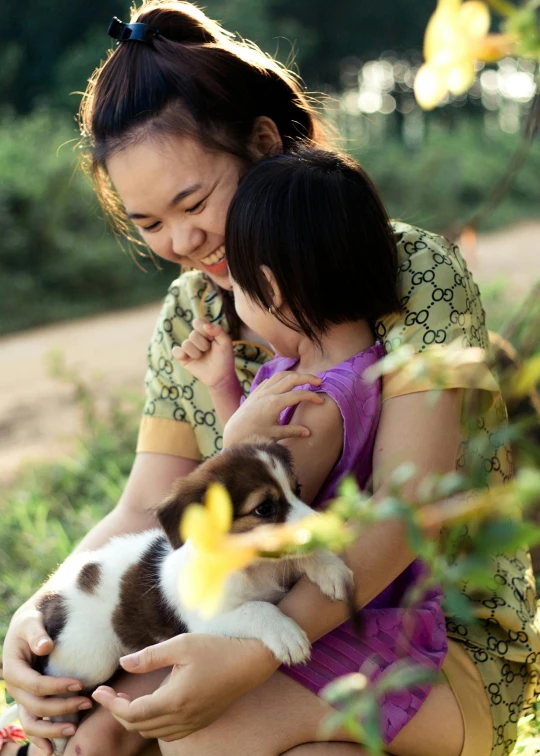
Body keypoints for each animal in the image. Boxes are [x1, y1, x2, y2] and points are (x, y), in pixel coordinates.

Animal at [4, 440, 352, 752]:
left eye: (298, 489)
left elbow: (301, 558)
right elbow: (258, 609)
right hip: (89, 661)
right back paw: (60, 731)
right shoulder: (210, 618)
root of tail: (52, 599)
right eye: (265, 508)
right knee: (59, 688)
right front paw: (286, 635)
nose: (330, 528)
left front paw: (331, 568)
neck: (250, 567)